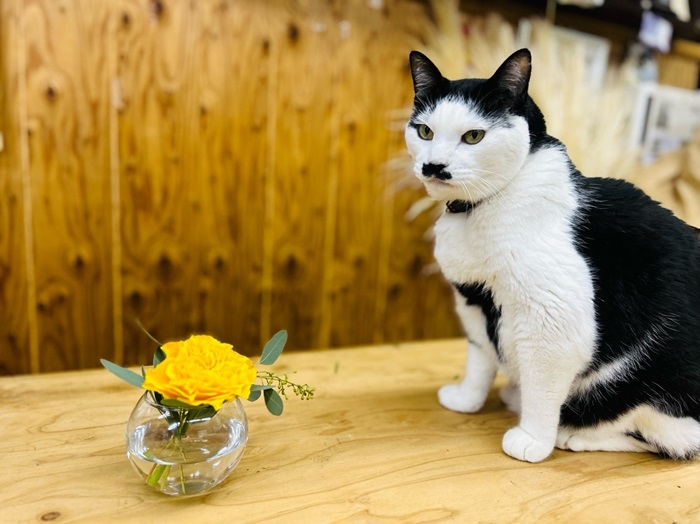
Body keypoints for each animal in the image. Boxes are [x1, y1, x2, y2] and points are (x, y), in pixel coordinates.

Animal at [404, 49, 700, 462]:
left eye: (474, 136)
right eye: (425, 132)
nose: (434, 166)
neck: (483, 208)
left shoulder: (553, 318)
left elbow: (543, 385)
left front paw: (533, 439)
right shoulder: (473, 301)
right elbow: (480, 358)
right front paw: (467, 399)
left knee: (666, 437)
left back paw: (570, 433)